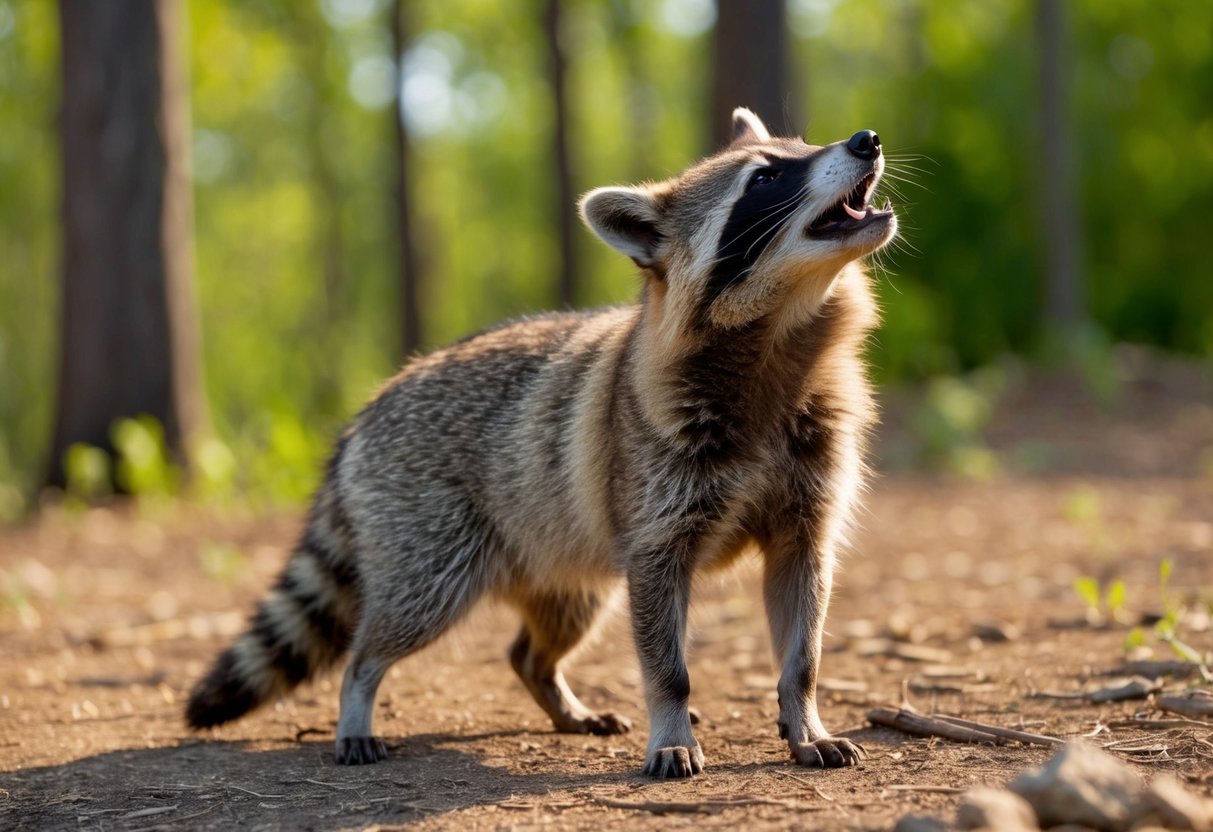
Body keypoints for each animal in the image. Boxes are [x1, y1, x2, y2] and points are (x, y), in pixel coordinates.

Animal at [187, 108, 897, 778]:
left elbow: (804, 618)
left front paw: (804, 713)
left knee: (545, 634)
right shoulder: (654, 498)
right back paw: (358, 692)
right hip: (427, 530)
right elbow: (662, 648)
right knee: (400, 618)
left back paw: (551, 686)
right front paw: (671, 717)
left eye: (803, 147)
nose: (866, 140)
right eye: (766, 179)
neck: (782, 334)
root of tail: (364, 416)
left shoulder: (808, 482)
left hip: (559, 550)